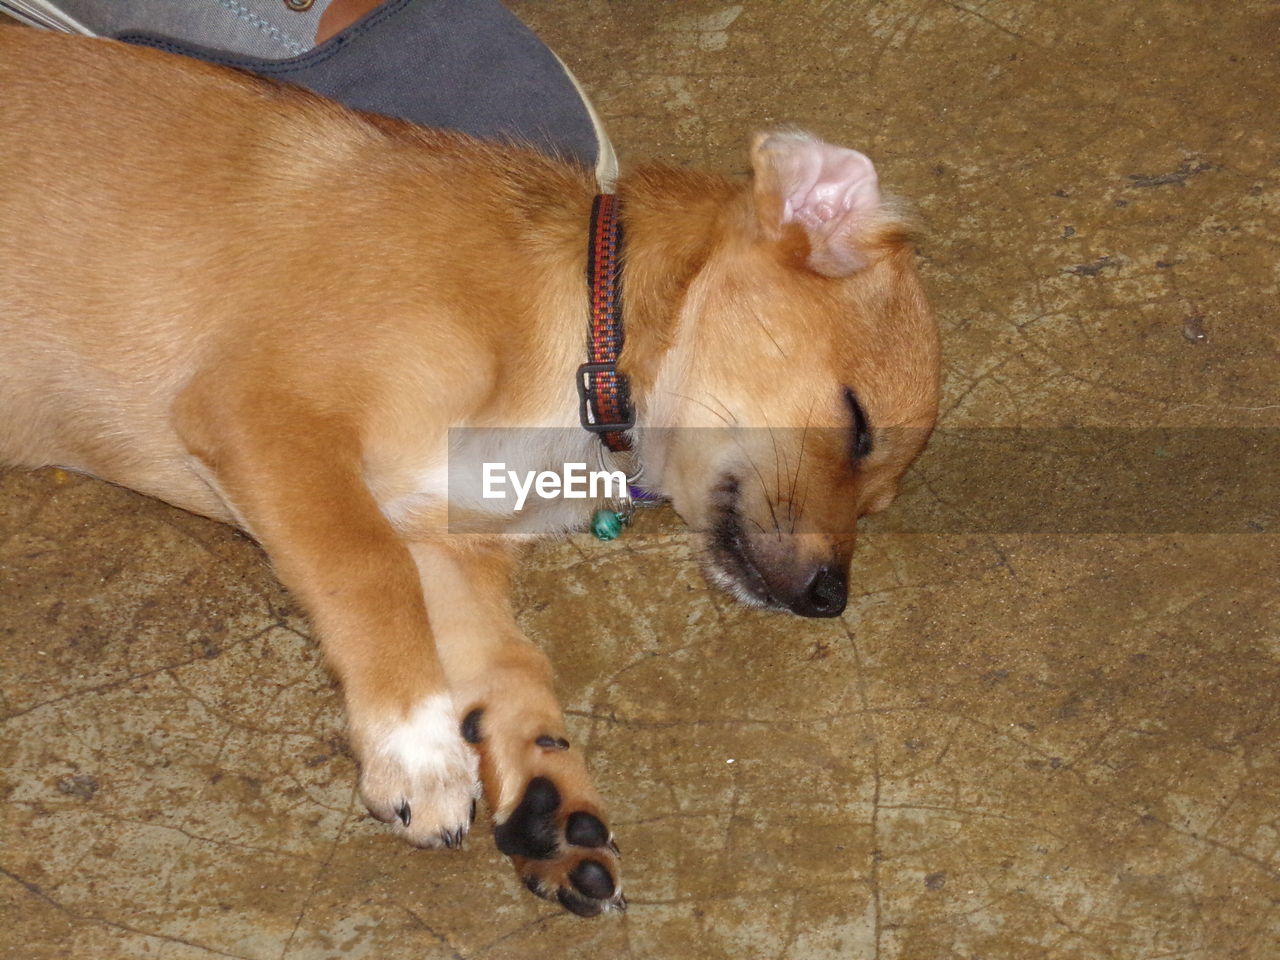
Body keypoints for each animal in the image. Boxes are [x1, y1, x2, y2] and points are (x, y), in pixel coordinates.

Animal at [0, 28, 942, 916]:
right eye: (857, 424)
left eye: (879, 498)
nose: (830, 599)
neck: (582, 340)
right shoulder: (264, 416)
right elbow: (365, 570)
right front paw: (416, 749)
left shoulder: (441, 546)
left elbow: (508, 665)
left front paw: (548, 794)